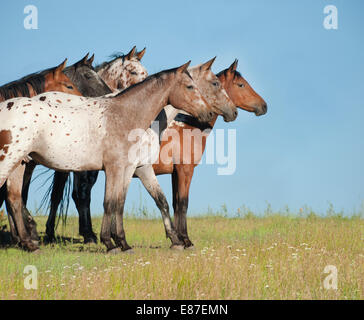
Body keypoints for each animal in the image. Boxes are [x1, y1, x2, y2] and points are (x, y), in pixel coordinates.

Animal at [0, 62, 216, 252]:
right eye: (190, 86)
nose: (209, 113)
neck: (123, 116)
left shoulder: (128, 169)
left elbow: (118, 202)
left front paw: (122, 243)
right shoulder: (114, 168)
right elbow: (109, 203)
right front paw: (110, 243)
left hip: (20, 165)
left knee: (14, 199)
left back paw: (29, 244)